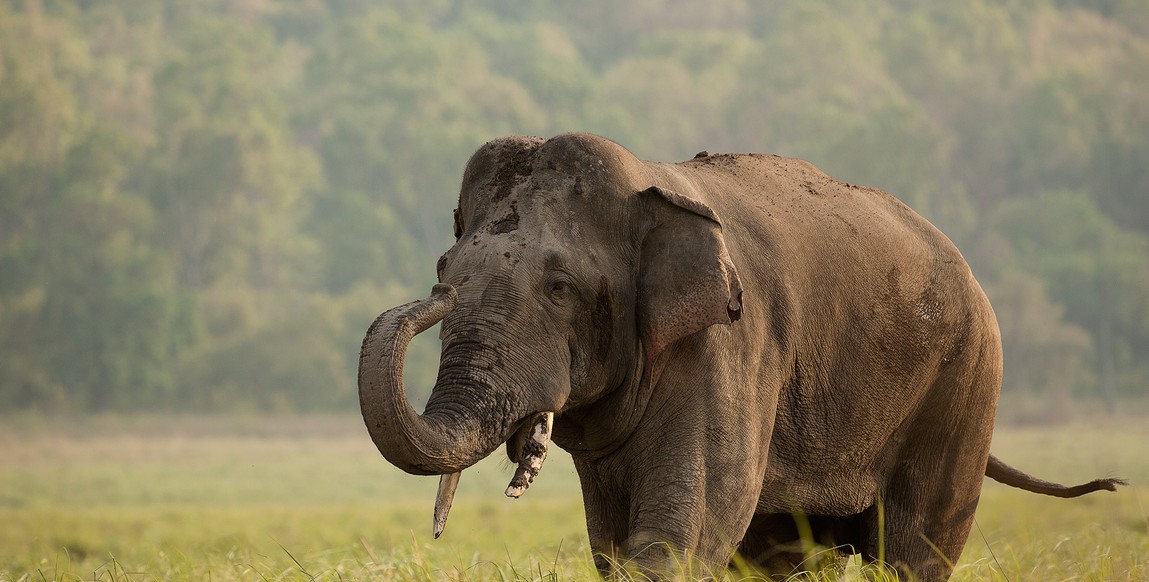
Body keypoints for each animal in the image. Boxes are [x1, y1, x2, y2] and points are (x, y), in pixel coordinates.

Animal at [358, 133, 1121, 582]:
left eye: (559, 288)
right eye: (445, 269)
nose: (432, 300)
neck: (647, 186)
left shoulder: (730, 345)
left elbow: (683, 533)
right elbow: (614, 543)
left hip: (964, 379)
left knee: (914, 550)